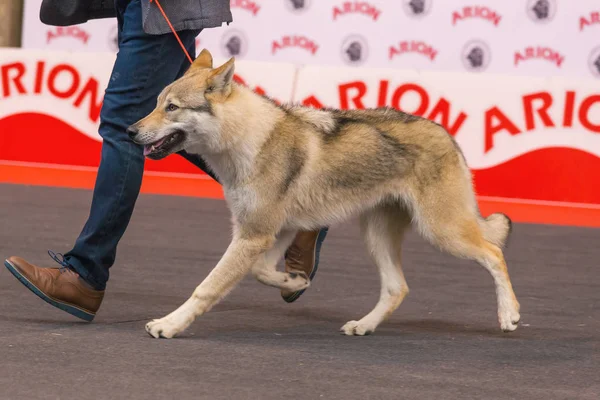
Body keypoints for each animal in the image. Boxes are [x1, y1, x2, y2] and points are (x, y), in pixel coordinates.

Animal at [127, 49, 520, 338]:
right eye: (156, 103)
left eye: (172, 108)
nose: (129, 131)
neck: (247, 141)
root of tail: (445, 132)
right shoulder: (271, 233)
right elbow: (261, 271)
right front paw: (295, 280)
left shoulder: (253, 235)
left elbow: (205, 288)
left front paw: (168, 325)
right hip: (377, 237)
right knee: (398, 288)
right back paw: (363, 326)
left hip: (442, 233)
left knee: (494, 253)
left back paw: (509, 314)